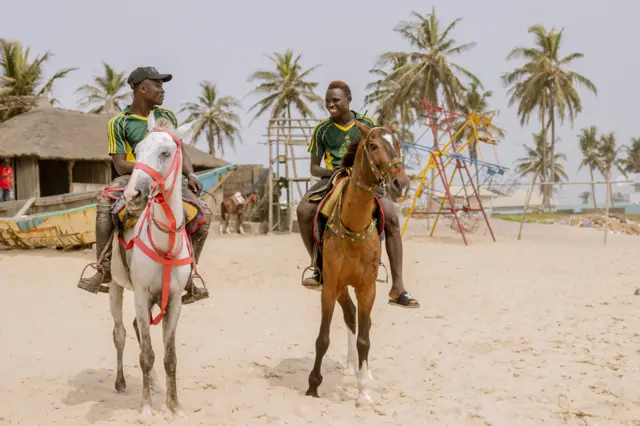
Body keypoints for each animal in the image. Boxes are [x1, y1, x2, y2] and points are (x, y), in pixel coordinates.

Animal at [108, 114, 194, 419]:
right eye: (139, 149)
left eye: (166, 153)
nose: (133, 194)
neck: (164, 245)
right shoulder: (141, 295)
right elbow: (146, 355)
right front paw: (145, 408)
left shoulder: (175, 301)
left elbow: (169, 356)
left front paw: (174, 406)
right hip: (115, 287)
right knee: (120, 333)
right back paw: (121, 383)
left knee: (135, 328)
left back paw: (156, 384)